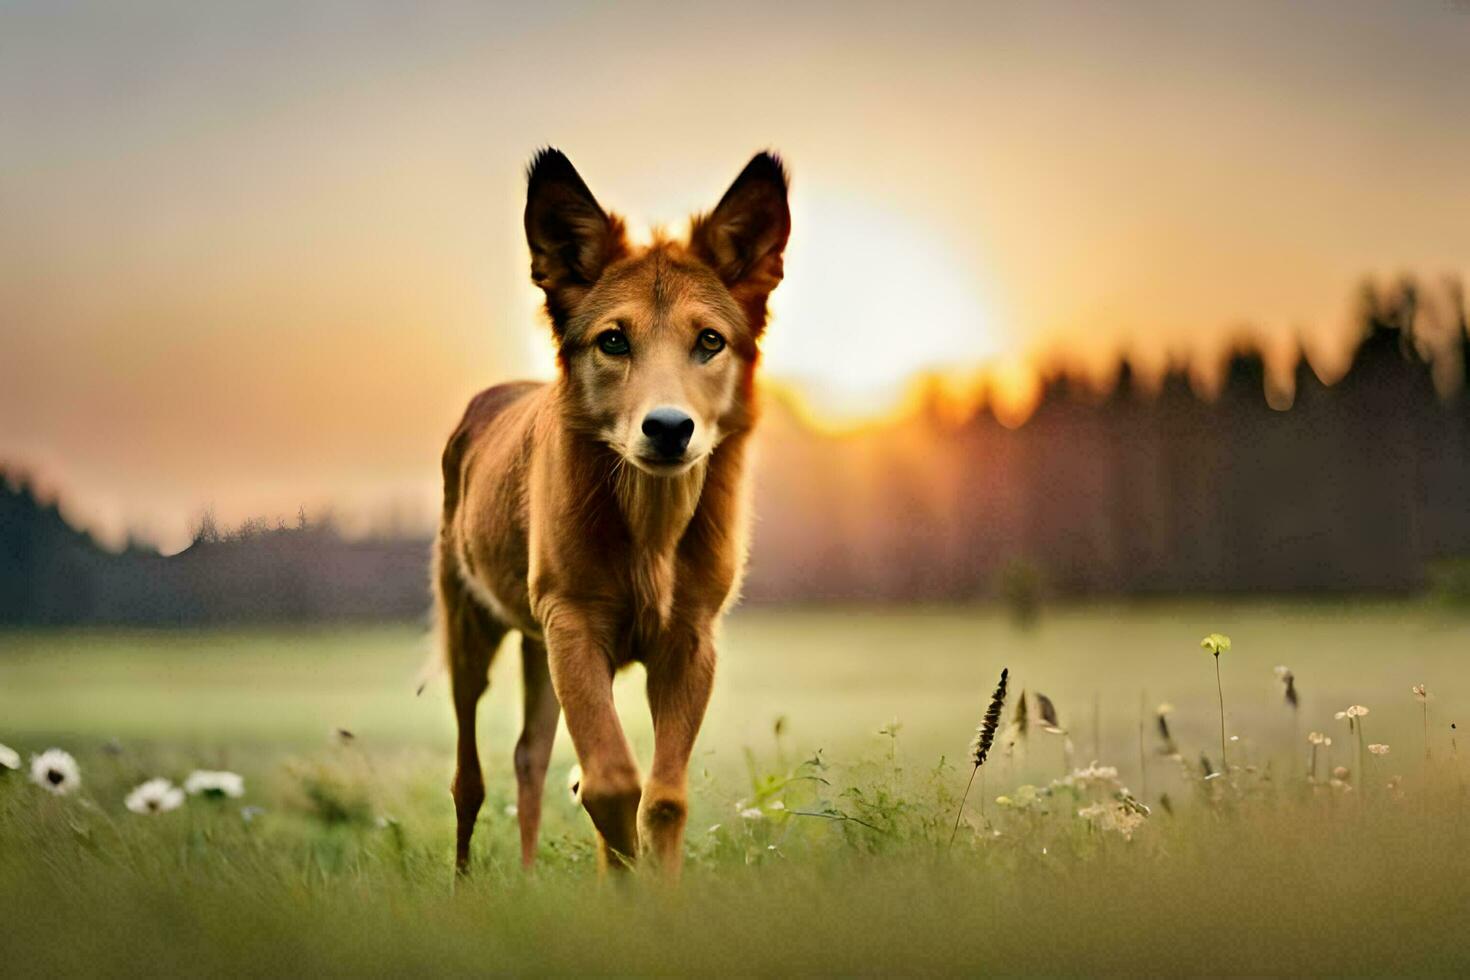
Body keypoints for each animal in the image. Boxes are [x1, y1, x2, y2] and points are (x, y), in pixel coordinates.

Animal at [435, 151, 793, 875]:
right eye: (612, 341)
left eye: (710, 339)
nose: (669, 428)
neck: (650, 528)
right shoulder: (574, 622)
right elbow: (609, 784)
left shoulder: (689, 639)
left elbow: (662, 799)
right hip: (469, 626)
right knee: (468, 780)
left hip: (537, 645)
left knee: (528, 756)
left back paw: (526, 880)